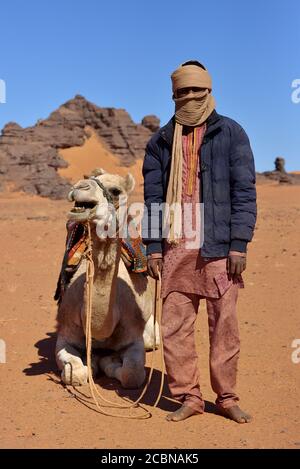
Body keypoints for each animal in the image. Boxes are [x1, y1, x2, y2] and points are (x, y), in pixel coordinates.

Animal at [56, 168, 159, 388]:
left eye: (115, 191)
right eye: (90, 179)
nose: (79, 187)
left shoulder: (134, 337)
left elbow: (132, 374)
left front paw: (108, 362)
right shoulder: (65, 334)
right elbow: (75, 373)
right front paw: (91, 364)